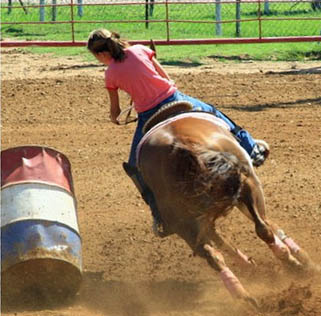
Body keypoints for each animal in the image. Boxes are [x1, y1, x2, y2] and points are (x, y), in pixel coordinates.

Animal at [136, 100, 318, 308]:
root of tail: (182, 145)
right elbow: (269, 224)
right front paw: (306, 262)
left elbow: (222, 241)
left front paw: (251, 266)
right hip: (248, 183)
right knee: (263, 227)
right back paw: (295, 267)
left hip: (181, 219)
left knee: (214, 255)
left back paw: (245, 296)